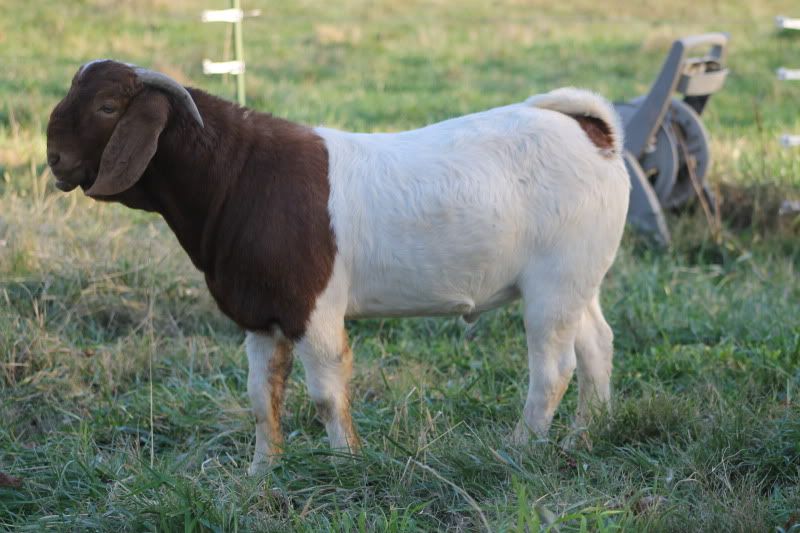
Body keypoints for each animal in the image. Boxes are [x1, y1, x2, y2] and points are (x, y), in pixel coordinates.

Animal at [47, 60, 629, 474]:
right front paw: (261, 473)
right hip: (581, 280)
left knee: (553, 368)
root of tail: (592, 130)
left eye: (107, 106)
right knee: (597, 345)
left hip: (554, 283)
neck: (236, 176)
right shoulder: (260, 313)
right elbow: (262, 396)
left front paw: (347, 463)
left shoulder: (312, 306)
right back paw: (587, 436)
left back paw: (520, 448)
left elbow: (326, 393)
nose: (54, 160)